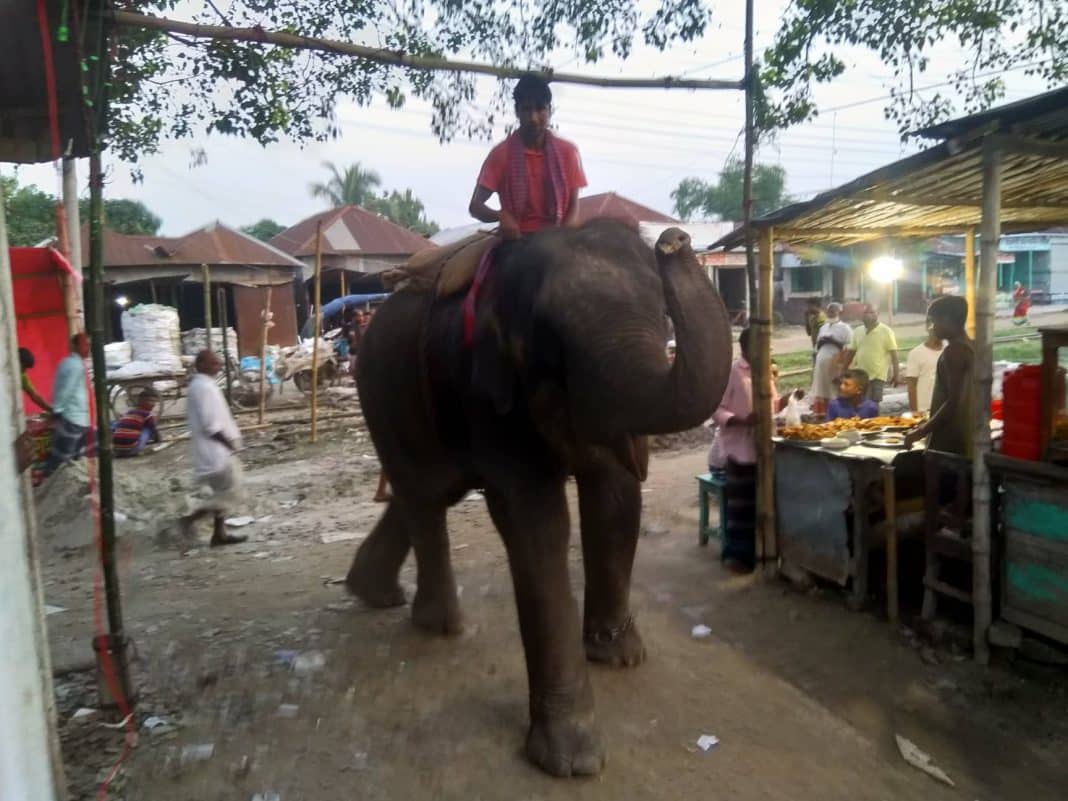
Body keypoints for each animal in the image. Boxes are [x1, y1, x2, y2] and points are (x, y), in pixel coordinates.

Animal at [348, 220, 734, 777]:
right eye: (550, 334)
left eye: (661, 311)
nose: (674, 239)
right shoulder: (483, 391)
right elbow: (536, 518)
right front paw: (572, 761)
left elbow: (615, 493)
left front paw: (621, 657)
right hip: (383, 395)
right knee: (422, 492)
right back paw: (439, 624)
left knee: (431, 488)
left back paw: (374, 593)